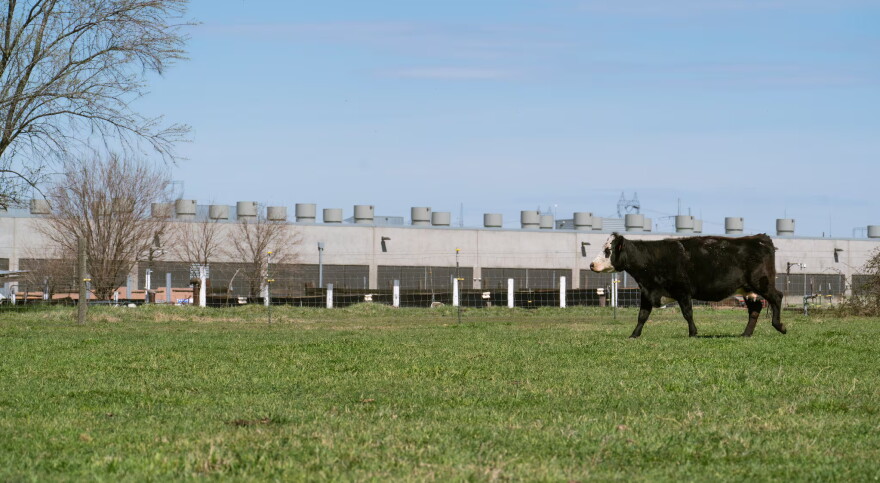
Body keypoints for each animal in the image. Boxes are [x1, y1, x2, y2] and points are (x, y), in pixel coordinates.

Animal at [590, 232, 785, 338]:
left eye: (607, 250)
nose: (591, 264)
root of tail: (759, 238)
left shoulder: (683, 291)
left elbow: (687, 313)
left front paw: (693, 333)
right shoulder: (647, 292)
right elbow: (642, 316)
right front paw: (634, 334)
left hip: (762, 283)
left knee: (777, 297)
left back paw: (779, 326)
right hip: (748, 289)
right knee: (755, 308)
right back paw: (746, 334)